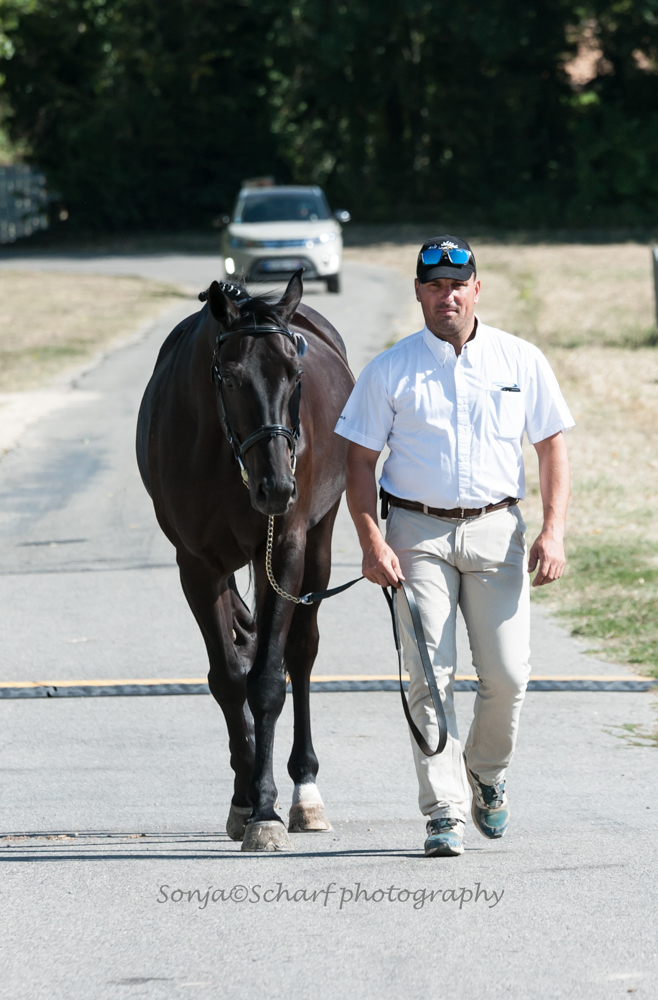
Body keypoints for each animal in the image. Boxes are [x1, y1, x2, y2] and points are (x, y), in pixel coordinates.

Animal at [136, 270, 356, 848]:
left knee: (300, 652)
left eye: (295, 372)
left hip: (317, 542)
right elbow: (229, 679)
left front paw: (267, 810)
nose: (277, 487)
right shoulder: (197, 566)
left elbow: (267, 680)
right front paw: (243, 799)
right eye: (231, 378)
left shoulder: (283, 549)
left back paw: (305, 792)